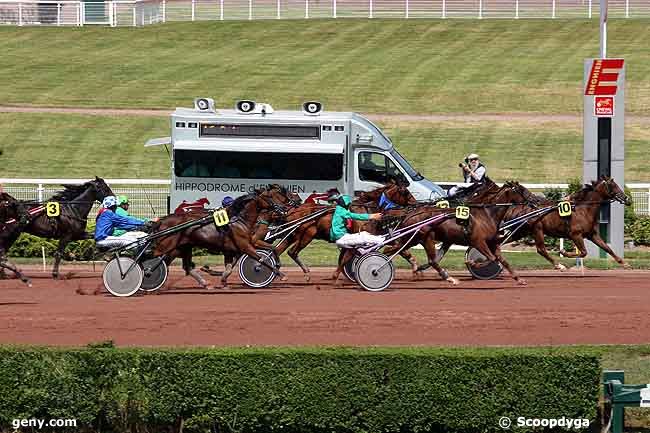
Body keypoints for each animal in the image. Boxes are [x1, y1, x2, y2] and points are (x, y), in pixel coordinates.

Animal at [149, 185, 292, 286]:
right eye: (269, 196)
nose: (283, 209)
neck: (239, 220)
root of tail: (162, 220)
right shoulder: (245, 246)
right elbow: (261, 259)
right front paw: (279, 273)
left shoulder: (236, 247)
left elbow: (230, 267)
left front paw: (222, 280)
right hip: (168, 246)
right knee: (156, 258)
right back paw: (149, 273)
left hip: (184, 247)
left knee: (185, 266)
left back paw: (204, 283)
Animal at [498, 176, 632, 270]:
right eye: (613, 185)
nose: (627, 199)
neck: (583, 209)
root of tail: (516, 207)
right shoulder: (575, 235)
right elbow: (583, 252)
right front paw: (563, 252)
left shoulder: (592, 234)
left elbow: (607, 248)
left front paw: (625, 263)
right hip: (537, 229)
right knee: (541, 249)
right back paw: (559, 265)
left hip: (521, 231)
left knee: (500, 242)